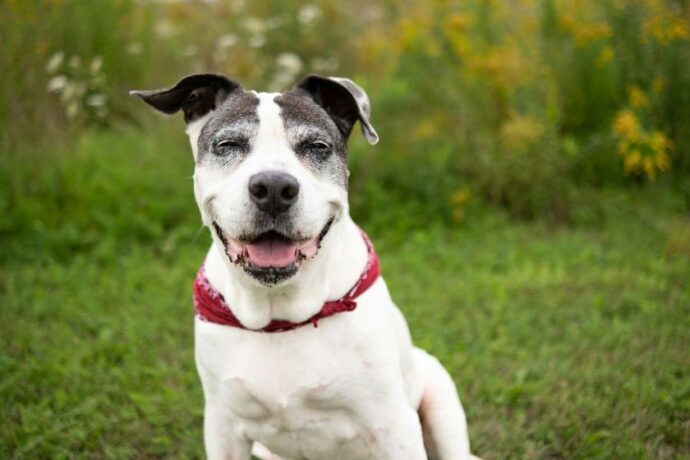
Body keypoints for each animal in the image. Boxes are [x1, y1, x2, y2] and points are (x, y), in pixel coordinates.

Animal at [130, 74, 472, 460]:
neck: (280, 316)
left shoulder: (393, 425)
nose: (273, 187)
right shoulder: (222, 425)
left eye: (317, 146)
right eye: (229, 144)